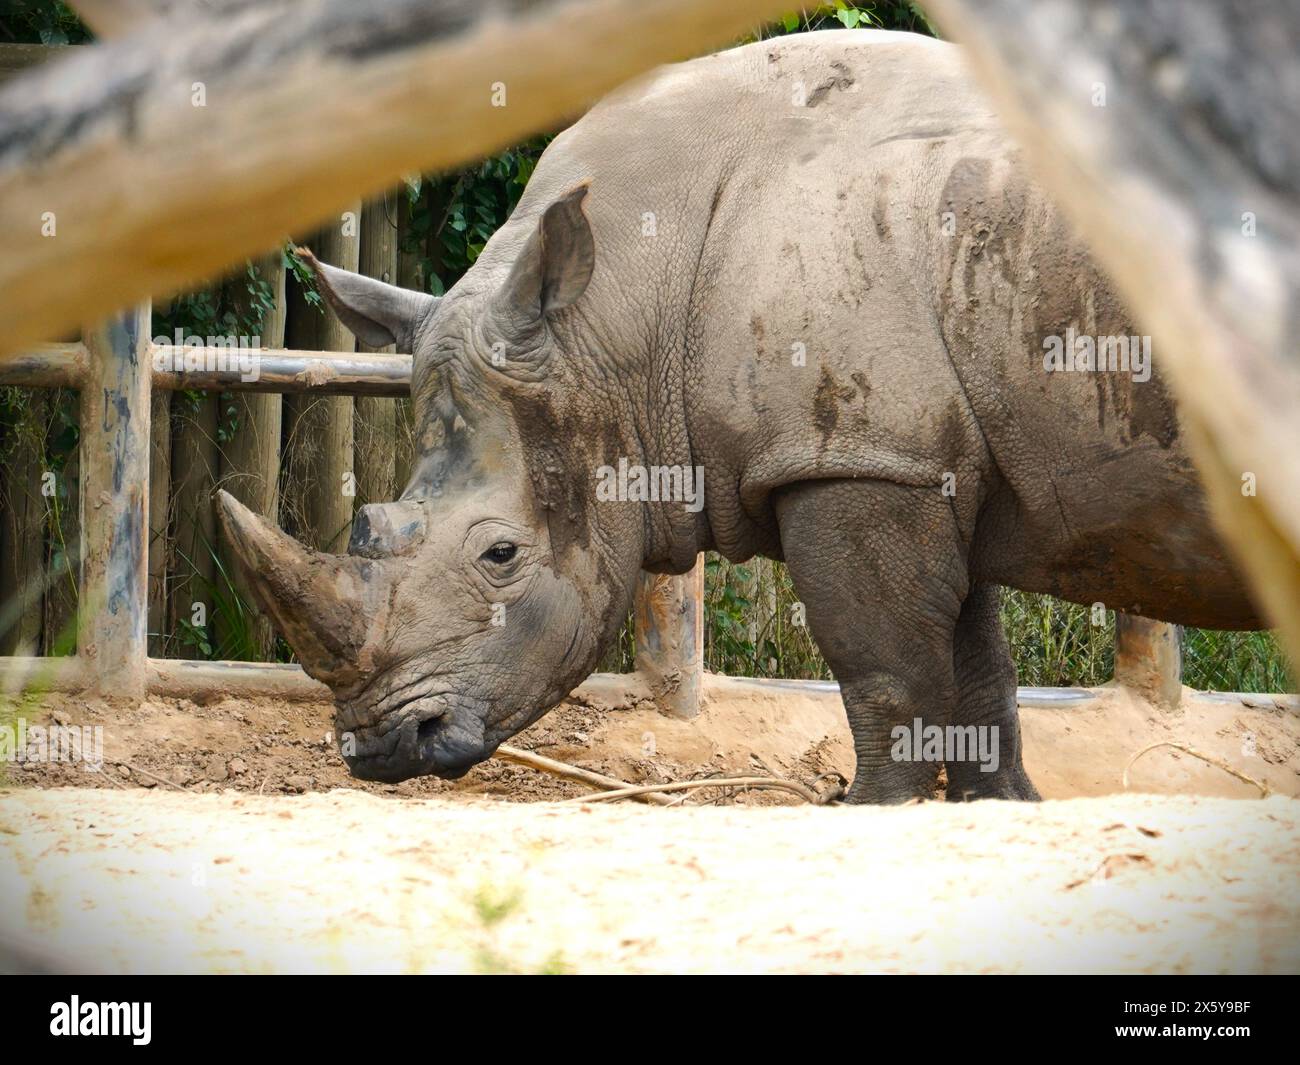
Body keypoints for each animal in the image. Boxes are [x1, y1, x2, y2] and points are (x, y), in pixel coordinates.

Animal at [217, 29, 1261, 803]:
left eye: (500, 555)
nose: (377, 747)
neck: (614, 317)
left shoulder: (851, 457)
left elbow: (889, 674)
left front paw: (870, 814)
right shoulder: (921, 458)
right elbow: (977, 675)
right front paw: (999, 812)